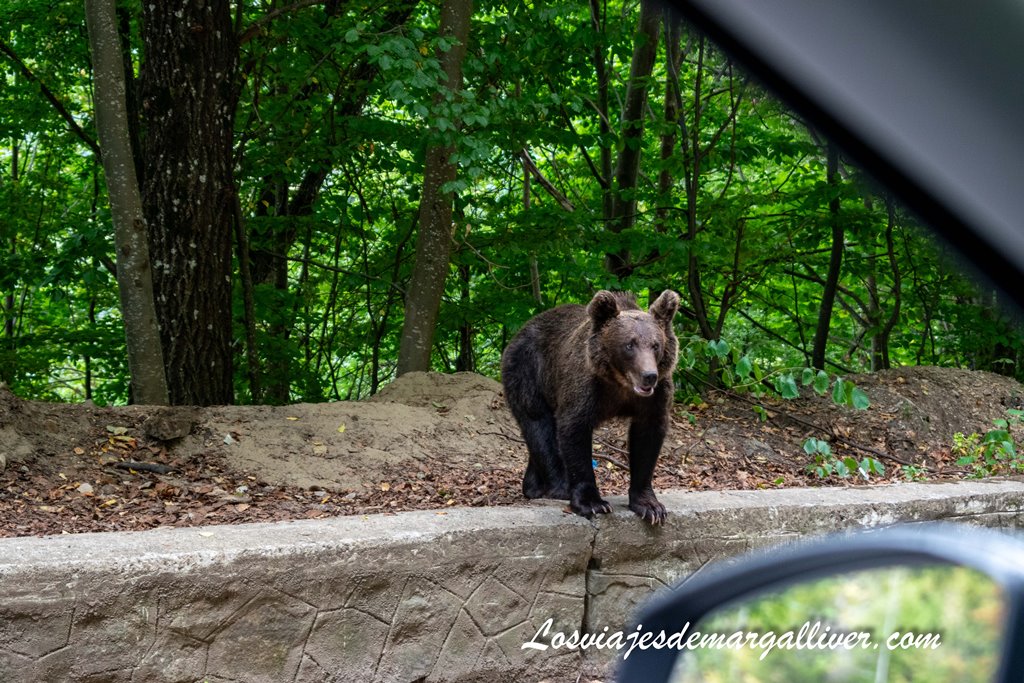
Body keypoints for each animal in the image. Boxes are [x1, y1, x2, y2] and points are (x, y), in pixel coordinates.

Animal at [501, 289, 680, 524]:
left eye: (655, 345)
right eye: (629, 344)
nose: (649, 376)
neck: (620, 384)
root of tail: (519, 331)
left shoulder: (654, 399)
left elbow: (647, 439)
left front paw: (650, 506)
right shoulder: (586, 388)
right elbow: (574, 431)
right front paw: (592, 503)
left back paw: (533, 485)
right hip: (528, 373)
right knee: (539, 426)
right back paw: (557, 486)